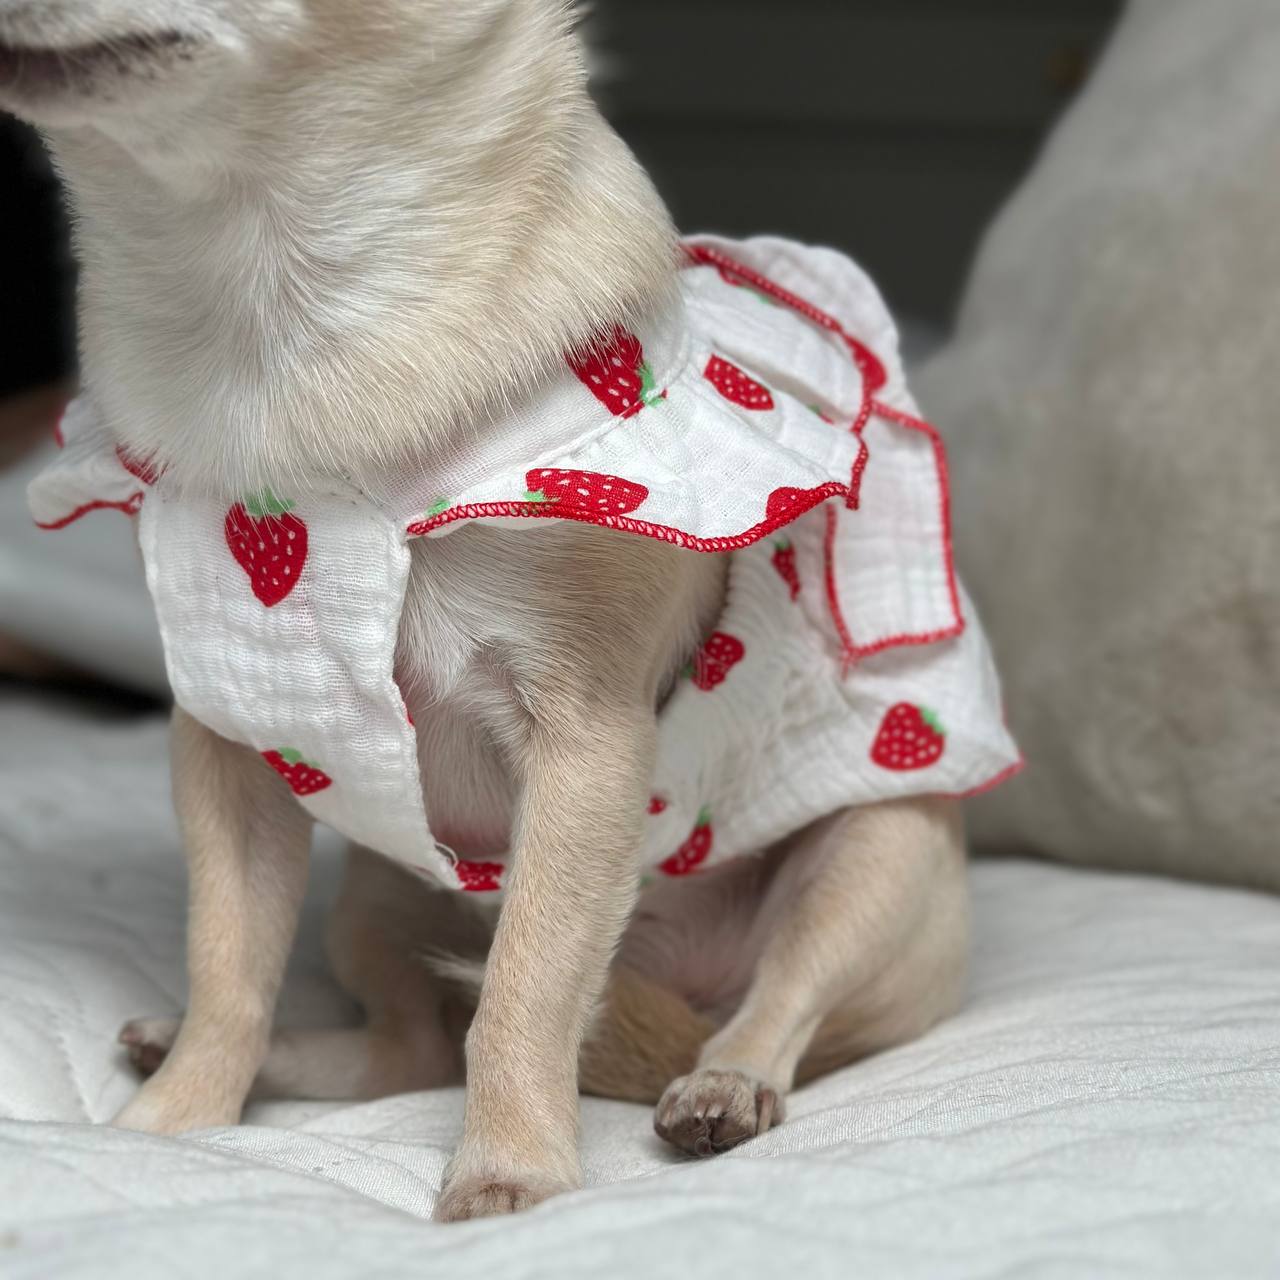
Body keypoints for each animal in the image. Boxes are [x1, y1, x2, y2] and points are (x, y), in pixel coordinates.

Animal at [0, 0, 1018, 1218]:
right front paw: (171, 1127)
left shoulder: (584, 752)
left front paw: (508, 1173)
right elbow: (228, 961)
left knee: (770, 1007)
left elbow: (525, 987)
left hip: (876, 858)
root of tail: (671, 992)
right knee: (406, 1046)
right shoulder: (238, 741)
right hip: (378, 898)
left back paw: (723, 1084)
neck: (281, 315)